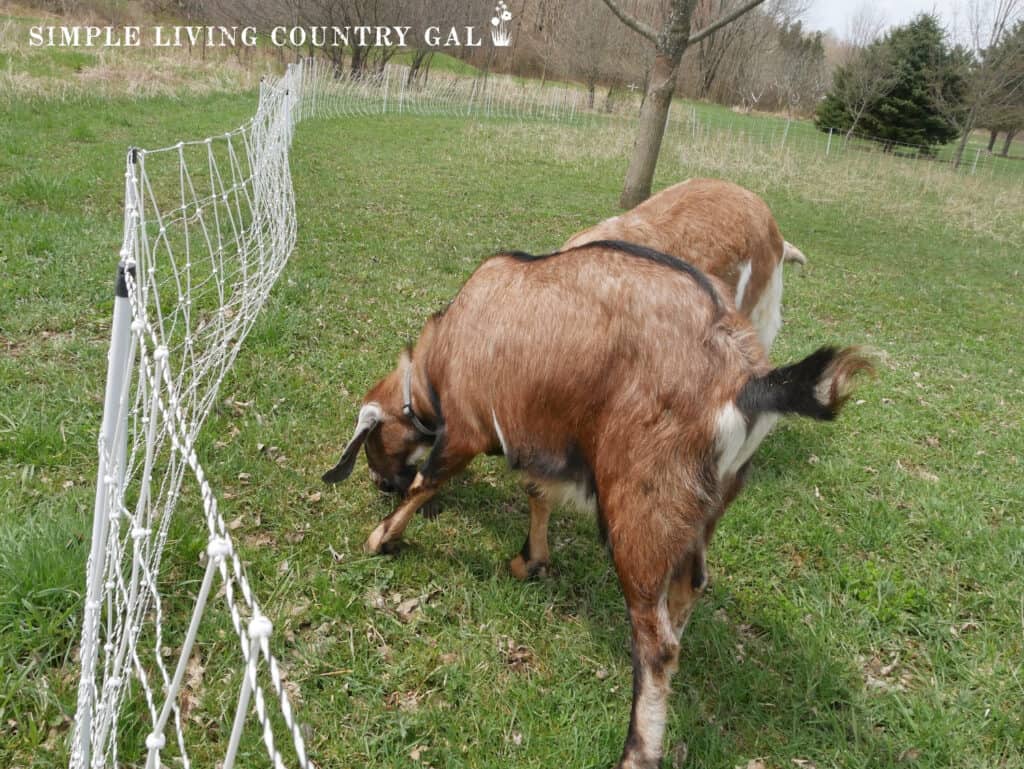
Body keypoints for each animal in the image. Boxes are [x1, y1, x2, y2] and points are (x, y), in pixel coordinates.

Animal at [323, 240, 868, 769]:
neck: (444, 351)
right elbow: (537, 494)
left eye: (372, 444)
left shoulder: (466, 427)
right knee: (687, 592)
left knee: (655, 642)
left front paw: (381, 536)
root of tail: (744, 384)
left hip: (640, 508)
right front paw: (530, 561)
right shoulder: (539, 436)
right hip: (702, 509)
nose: (380, 483)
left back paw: (638, 751)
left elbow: (429, 481)